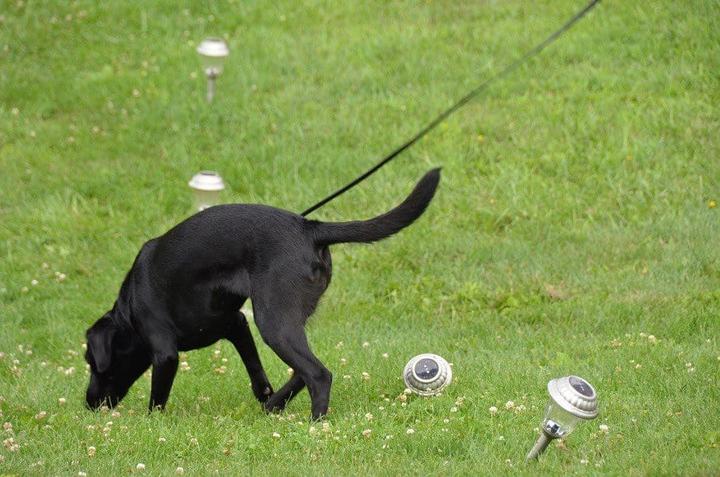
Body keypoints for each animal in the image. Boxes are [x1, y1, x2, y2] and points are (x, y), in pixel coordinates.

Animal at [87, 167, 442, 416]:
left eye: (91, 361)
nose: (88, 404)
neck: (129, 310)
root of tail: (310, 228)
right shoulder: (236, 324)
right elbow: (256, 369)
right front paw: (266, 395)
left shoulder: (164, 351)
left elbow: (157, 398)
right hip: (285, 321)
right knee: (302, 371)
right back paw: (274, 407)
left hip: (273, 321)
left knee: (318, 374)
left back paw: (316, 423)